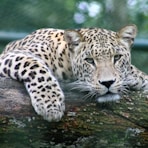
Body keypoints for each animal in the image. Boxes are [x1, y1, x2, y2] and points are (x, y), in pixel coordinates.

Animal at [0, 24, 147, 121]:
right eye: (89, 60)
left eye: (117, 57)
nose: (108, 82)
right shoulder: (10, 56)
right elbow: (35, 67)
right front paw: (50, 104)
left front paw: (138, 78)